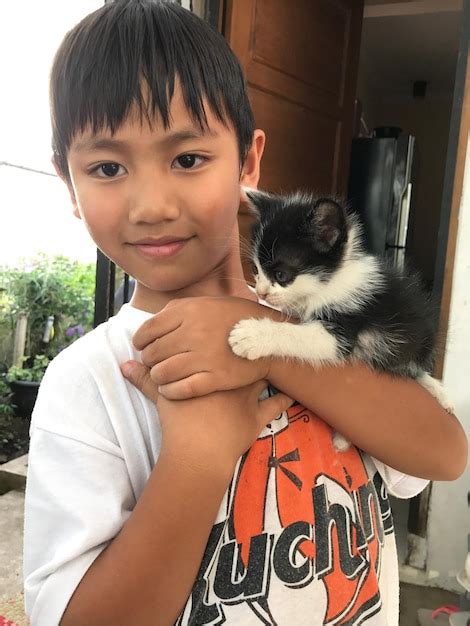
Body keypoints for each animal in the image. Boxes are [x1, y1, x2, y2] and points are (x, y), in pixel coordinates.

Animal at [229, 189, 454, 448]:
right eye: (255, 271)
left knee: (414, 370)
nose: (261, 292)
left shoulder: (344, 324)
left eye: (281, 274)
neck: (329, 282)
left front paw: (250, 336)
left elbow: (298, 335)